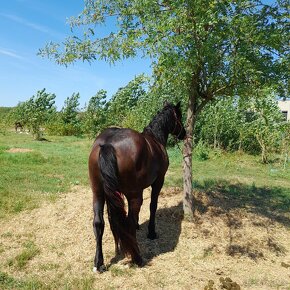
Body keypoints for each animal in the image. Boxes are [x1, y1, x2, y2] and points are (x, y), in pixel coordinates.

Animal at [88, 102, 186, 272]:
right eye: (179, 116)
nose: (184, 134)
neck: (155, 139)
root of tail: (108, 144)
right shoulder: (158, 181)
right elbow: (153, 206)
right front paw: (151, 232)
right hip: (134, 195)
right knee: (128, 221)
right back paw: (137, 258)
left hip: (98, 193)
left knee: (99, 223)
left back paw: (99, 262)